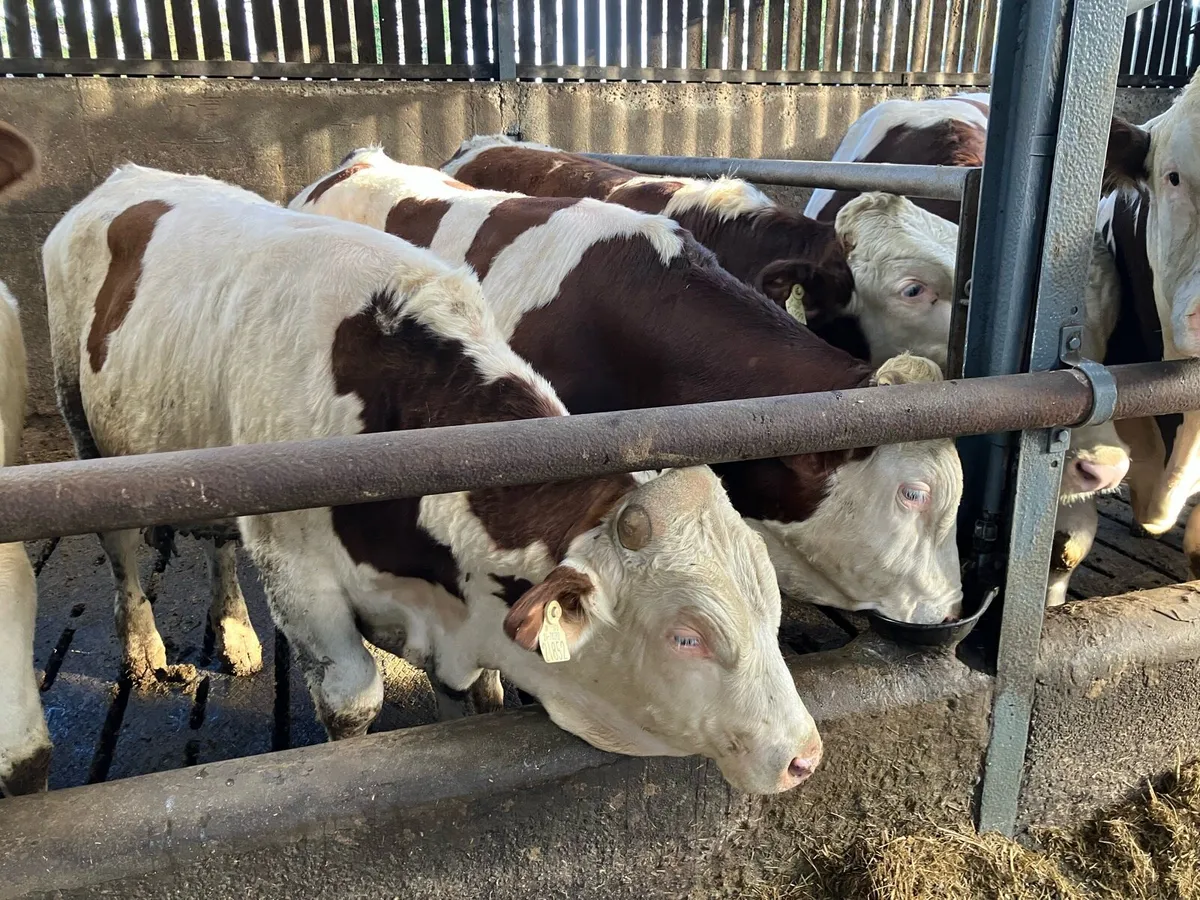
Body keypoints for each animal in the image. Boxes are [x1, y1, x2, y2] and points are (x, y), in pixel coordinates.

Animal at [44, 164, 824, 795]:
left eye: (770, 605)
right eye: (687, 636)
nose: (805, 755)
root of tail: (125, 176)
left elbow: (478, 697)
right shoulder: (298, 574)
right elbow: (353, 700)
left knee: (218, 540)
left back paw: (234, 631)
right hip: (84, 427)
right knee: (119, 544)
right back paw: (142, 647)